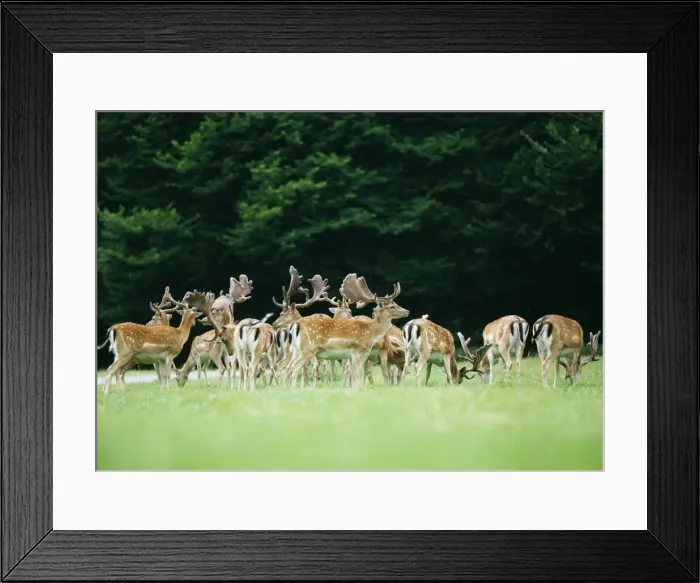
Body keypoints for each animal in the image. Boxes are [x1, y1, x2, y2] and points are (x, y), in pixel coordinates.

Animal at [100, 289, 229, 394]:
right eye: (194, 316)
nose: (195, 322)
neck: (181, 334)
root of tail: (113, 328)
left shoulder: (160, 358)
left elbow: (162, 375)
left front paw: (163, 390)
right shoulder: (170, 353)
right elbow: (167, 374)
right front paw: (168, 390)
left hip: (119, 354)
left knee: (114, 370)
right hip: (125, 352)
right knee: (112, 370)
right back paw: (107, 393)